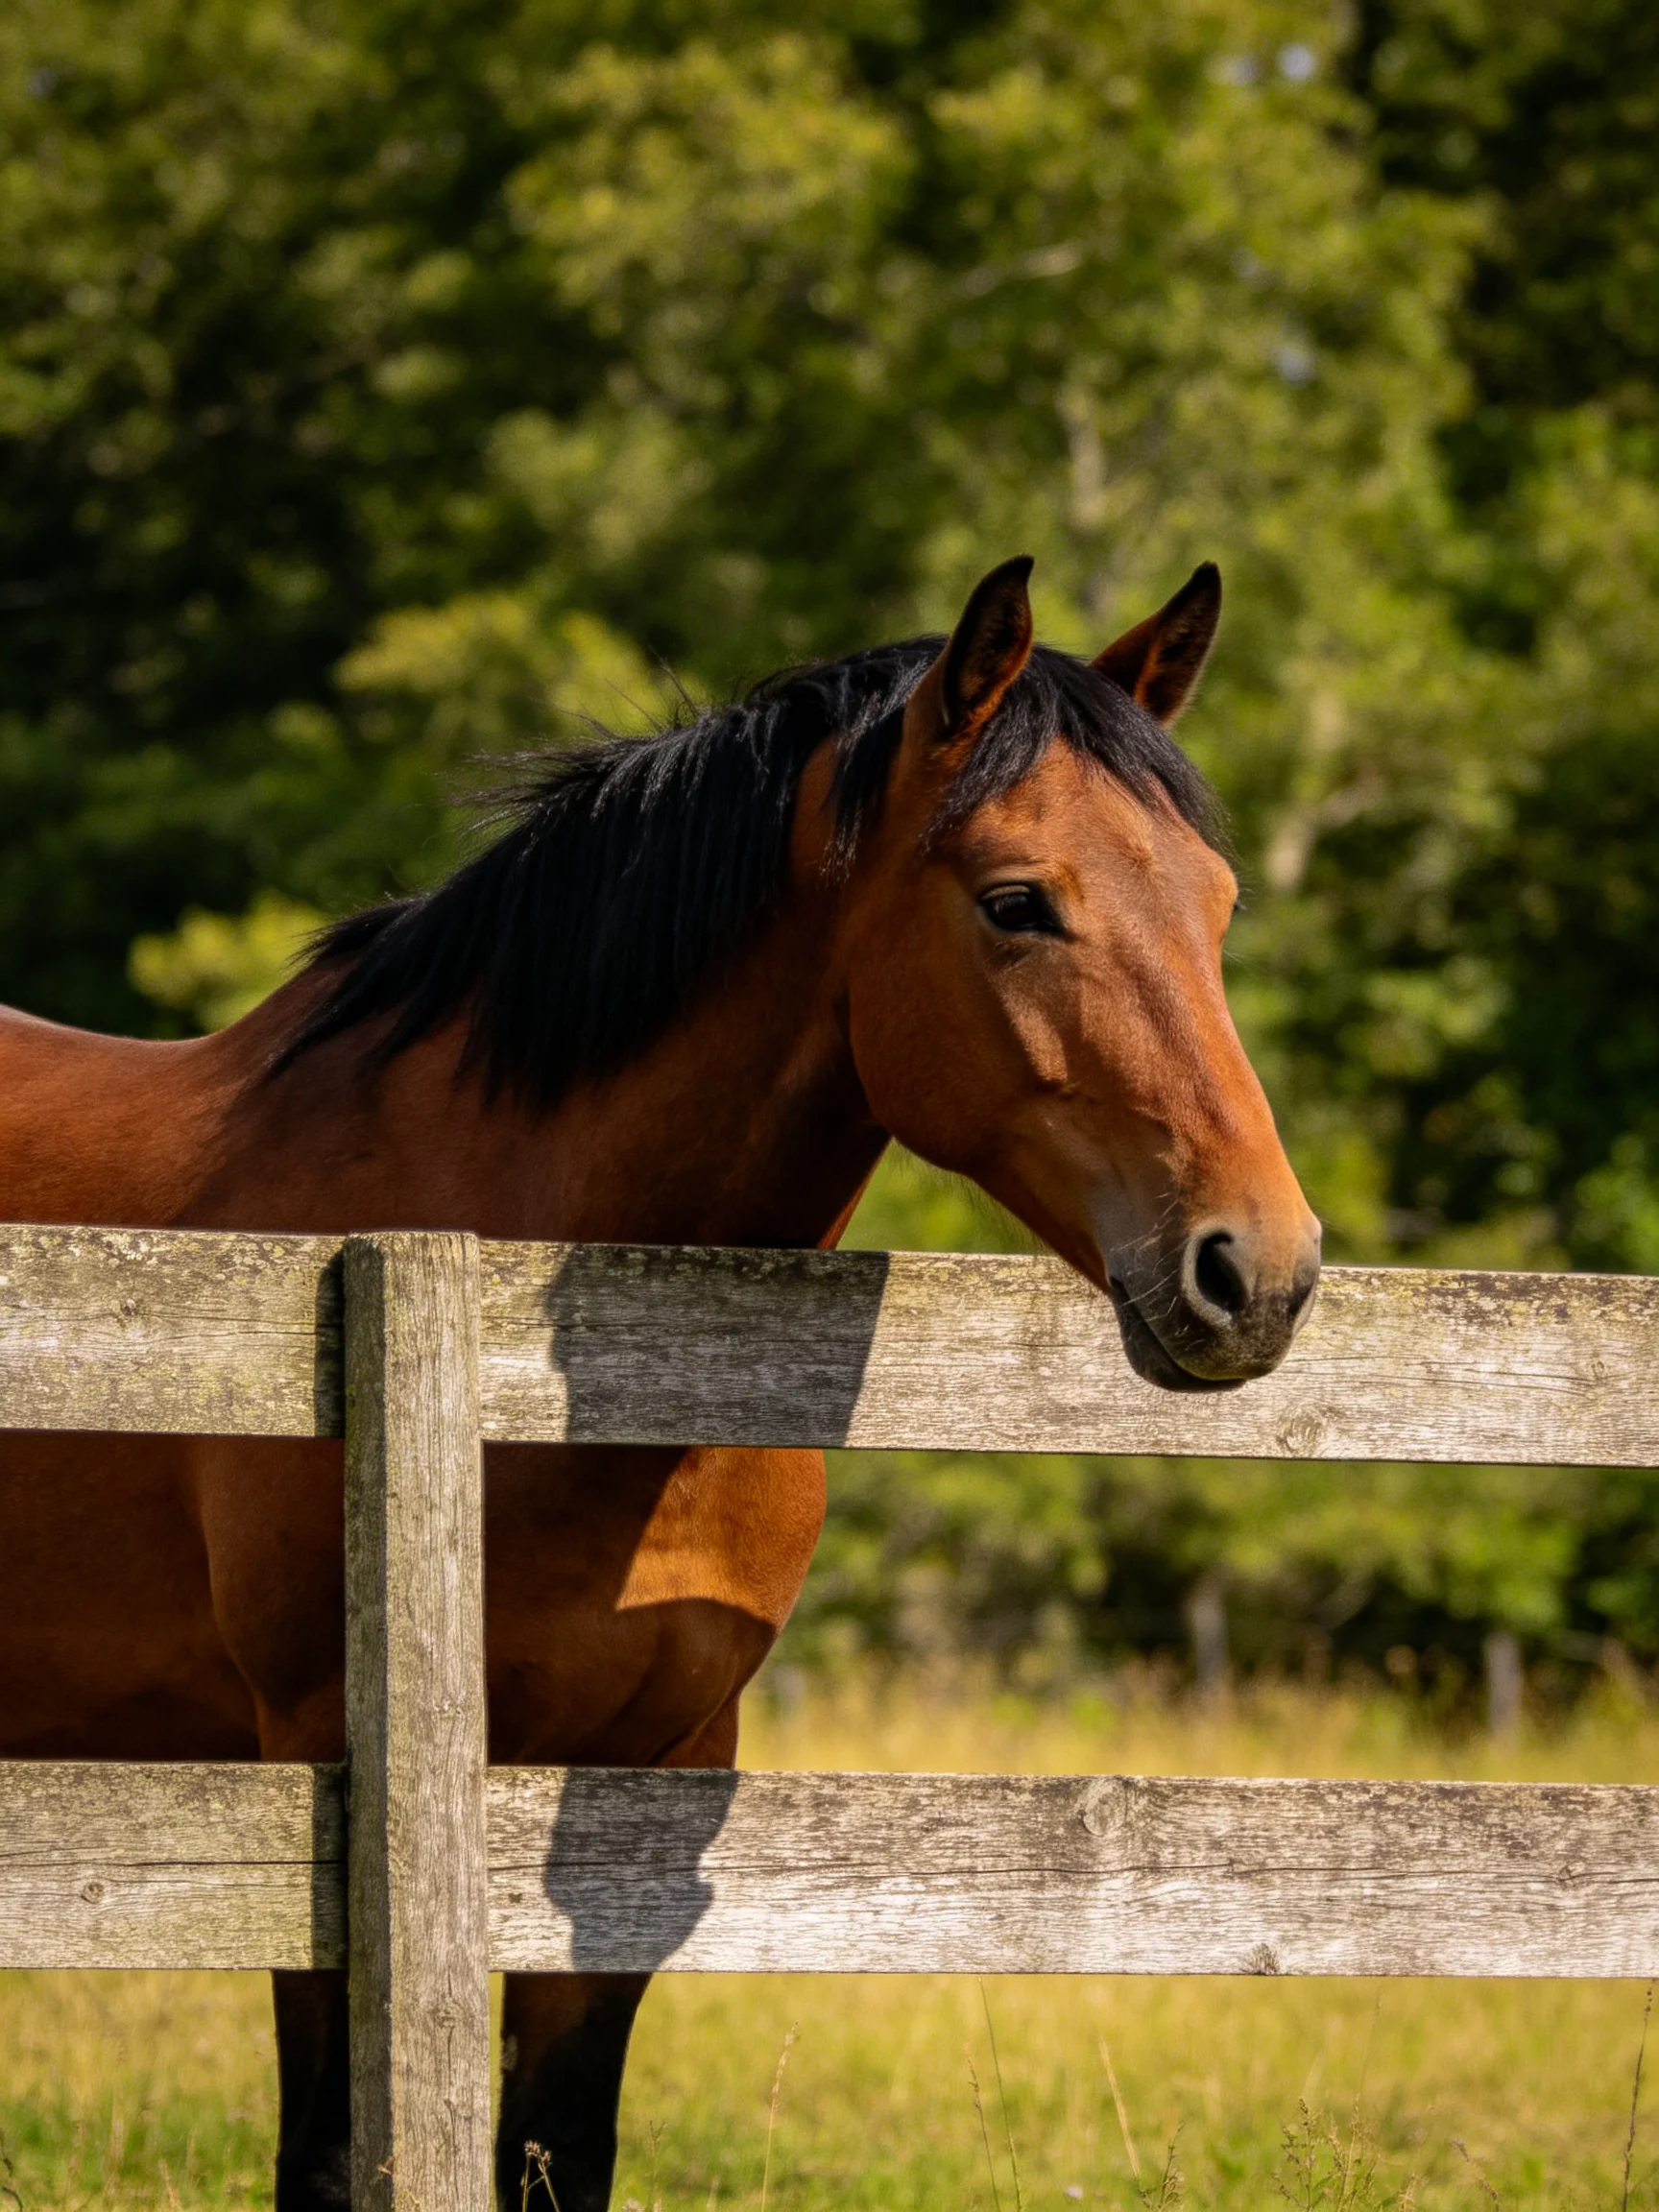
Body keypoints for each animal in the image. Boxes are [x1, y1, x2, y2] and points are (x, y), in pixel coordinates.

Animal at [0, 554, 1320, 2209]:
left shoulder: (646, 1779)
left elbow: (560, 2150)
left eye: (1216, 903)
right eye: (1018, 901)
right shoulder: (314, 1777)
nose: (1257, 1271)